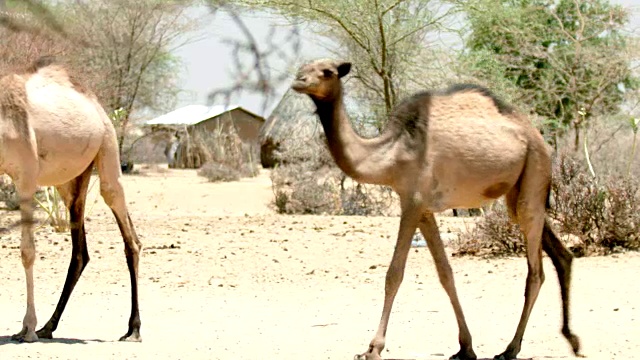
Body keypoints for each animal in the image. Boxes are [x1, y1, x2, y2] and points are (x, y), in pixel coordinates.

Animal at [292, 58, 584, 360]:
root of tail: (538, 137)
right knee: (560, 254)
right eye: (302, 68)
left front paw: (372, 348)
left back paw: (510, 349)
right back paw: (571, 338)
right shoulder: (423, 210)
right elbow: (445, 273)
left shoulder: (412, 202)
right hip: (519, 192)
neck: (390, 154)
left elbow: (394, 274)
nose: (299, 81)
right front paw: (465, 347)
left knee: (535, 272)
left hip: (535, 170)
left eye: (327, 72)